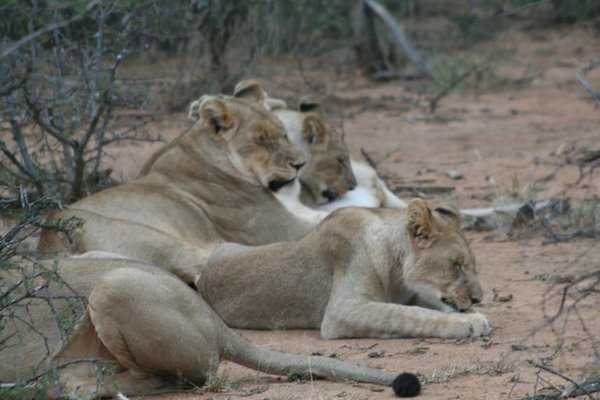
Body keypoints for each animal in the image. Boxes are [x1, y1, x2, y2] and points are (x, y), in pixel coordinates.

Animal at [37, 83, 318, 284]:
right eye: (263, 140)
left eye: (283, 132)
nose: (301, 164)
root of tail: (50, 239)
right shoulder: (280, 228)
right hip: (159, 239)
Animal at [199, 198, 490, 340]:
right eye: (456, 265)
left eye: (472, 264)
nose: (478, 298)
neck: (396, 271)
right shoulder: (342, 310)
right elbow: (406, 315)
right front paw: (467, 322)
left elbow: (425, 306)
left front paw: (472, 313)